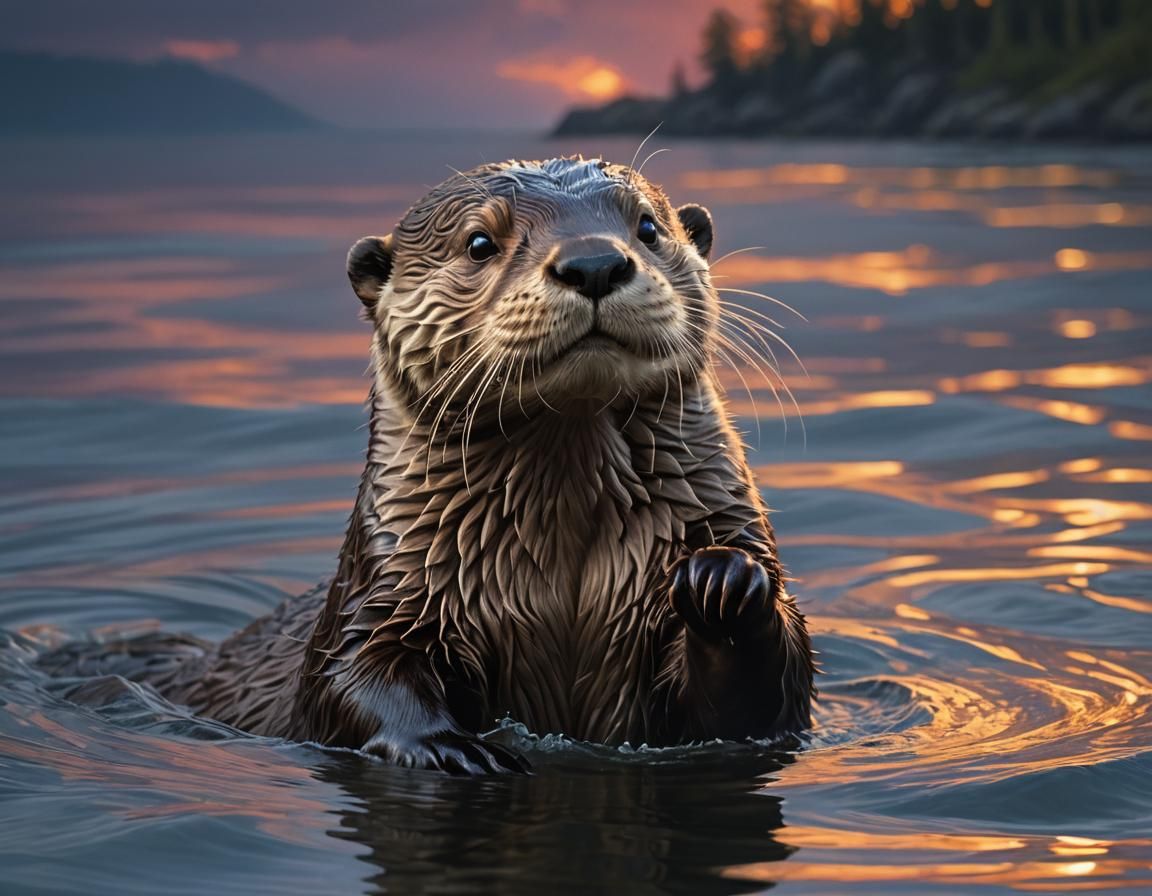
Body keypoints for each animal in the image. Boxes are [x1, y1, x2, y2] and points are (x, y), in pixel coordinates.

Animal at [42, 158, 814, 773]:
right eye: (480, 241)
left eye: (649, 228)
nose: (595, 261)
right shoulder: (388, 585)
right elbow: (353, 678)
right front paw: (452, 748)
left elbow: (770, 690)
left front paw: (724, 581)